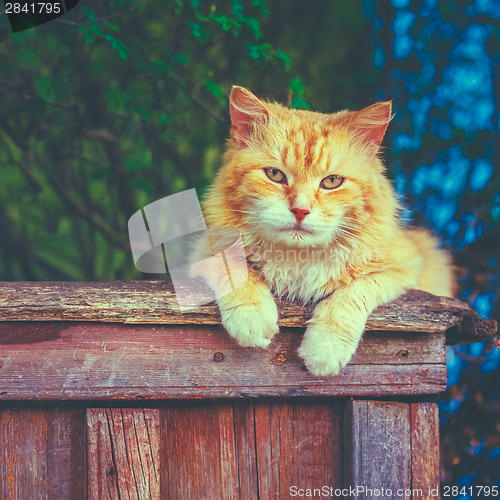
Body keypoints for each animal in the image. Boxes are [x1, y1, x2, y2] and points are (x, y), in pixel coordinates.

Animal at [199, 86, 454, 376]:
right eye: (275, 175)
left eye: (331, 181)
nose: (300, 211)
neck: (298, 258)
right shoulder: (205, 246)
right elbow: (235, 268)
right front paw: (252, 318)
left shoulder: (405, 266)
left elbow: (353, 293)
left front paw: (325, 350)